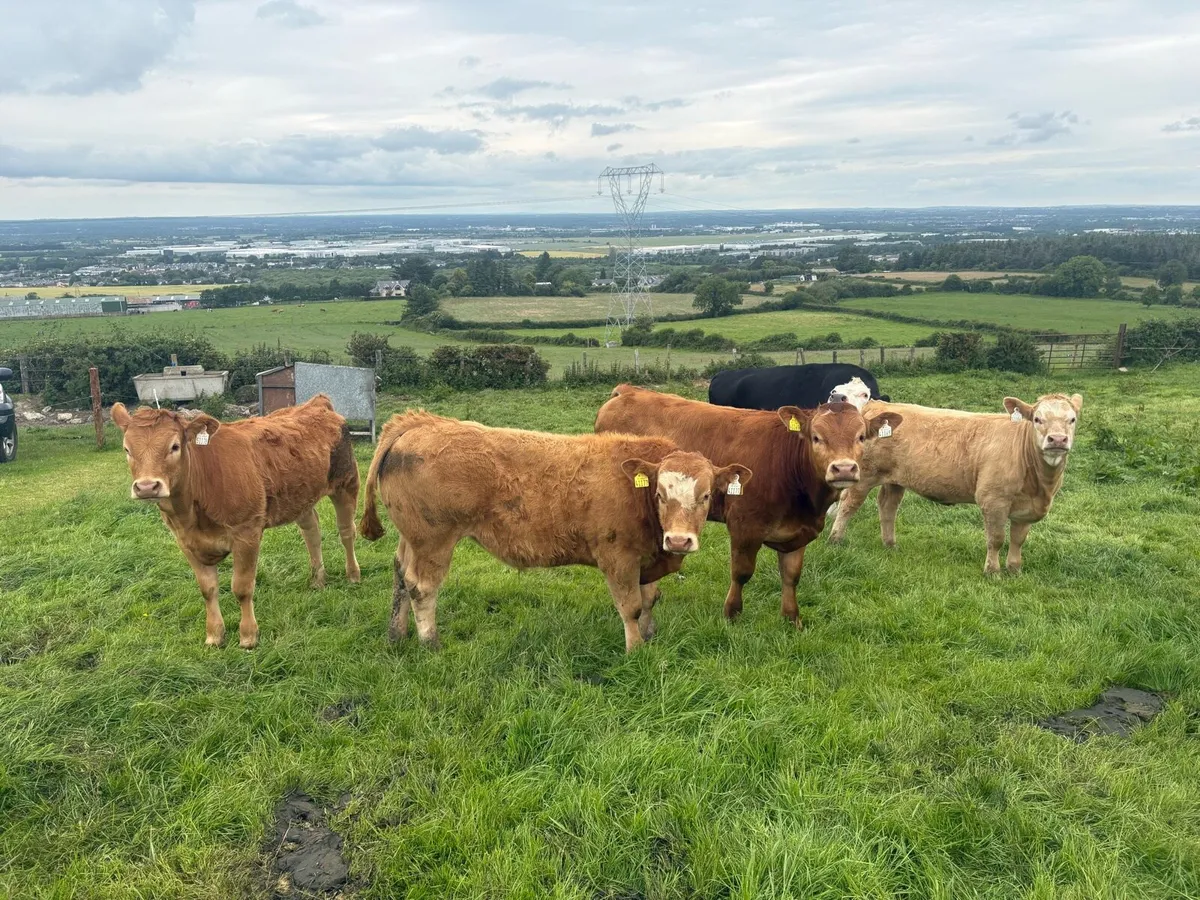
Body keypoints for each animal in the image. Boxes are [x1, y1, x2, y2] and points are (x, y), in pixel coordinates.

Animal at [111, 395, 361, 649]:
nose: (146, 487)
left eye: (174, 446)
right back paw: (317, 579)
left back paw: (353, 574)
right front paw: (214, 635)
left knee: (346, 531)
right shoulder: (185, 541)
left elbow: (241, 588)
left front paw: (248, 636)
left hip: (347, 482)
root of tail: (317, 403)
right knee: (312, 532)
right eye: (127, 449)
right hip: (301, 497)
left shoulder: (247, 533)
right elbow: (207, 589)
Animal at [357, 411, 752, 652]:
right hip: (434, 541)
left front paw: (650, 636)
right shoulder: (618, 558)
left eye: (706, 496)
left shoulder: (647, 558)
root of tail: (421, 422)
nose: (679, 540)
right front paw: (636, 649)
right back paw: (431, 643)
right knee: (422, 588)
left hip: (412, 538)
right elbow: (631, 607)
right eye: (659, 494)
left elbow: (650, 599)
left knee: (400, 576)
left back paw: (396, 635)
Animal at [595, 385, 903, 628]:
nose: (844, 469)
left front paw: (792, 619)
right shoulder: (745, 527)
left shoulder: (798, 532)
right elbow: (741, 573)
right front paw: (731, 614)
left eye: (861, 437)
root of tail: (629, 390)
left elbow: (791, 576)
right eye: (817, 437)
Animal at [828, 393, 1083, 575]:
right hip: (863, 476)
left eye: (1072, 420)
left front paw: (1014, 570)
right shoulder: (993, 500)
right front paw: (993, 571)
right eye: (1038, 419)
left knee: (887, 507)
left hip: (895, 479)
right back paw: (836, 539)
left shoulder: (1026, 508)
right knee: (848, 505)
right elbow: (996, 539)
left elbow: (1018, 540)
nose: (1058, 439)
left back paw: (890, 544)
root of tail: (875, 406)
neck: (1039, 485)